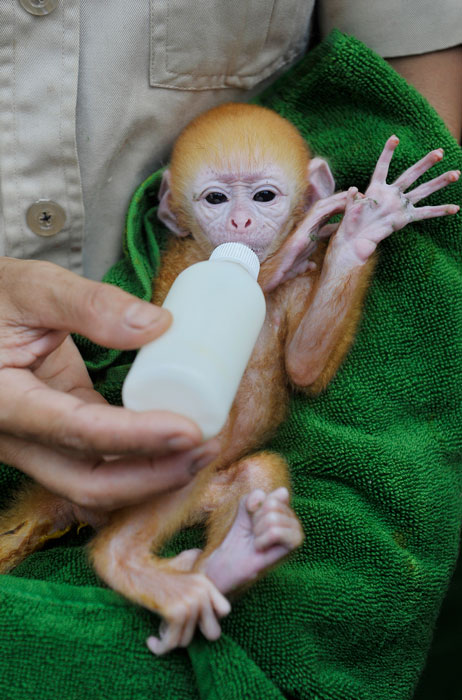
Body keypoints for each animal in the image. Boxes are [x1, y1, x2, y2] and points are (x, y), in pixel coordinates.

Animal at [0, 104, 458, 656]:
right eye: (215, 199)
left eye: (264, 197)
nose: (240, 222)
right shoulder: (178, 264)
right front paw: (287, 254)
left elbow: (304, 367)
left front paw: (362, 228)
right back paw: (124, 559)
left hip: (205, 491)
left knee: (256, 473)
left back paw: (231, 561)